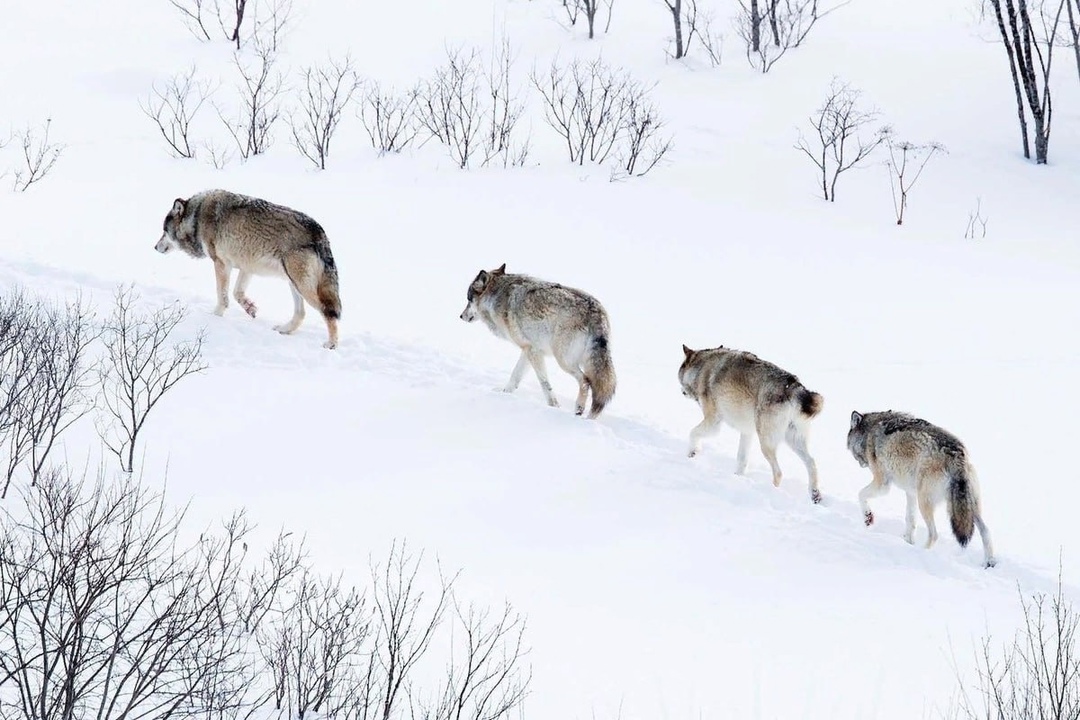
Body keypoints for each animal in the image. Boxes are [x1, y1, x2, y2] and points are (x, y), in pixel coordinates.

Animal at [154, 189, 341, 349]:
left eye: (164, 231)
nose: (155, 247)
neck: (196, 217)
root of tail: (320, 232)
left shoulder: (221, 264)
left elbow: (222, 296)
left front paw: (215, 317)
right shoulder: (247, 267)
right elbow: (237, 293)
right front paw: (250, 308)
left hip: (301, 286)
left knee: (327, 312)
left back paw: (331, 344)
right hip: (293, 283)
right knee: (301, 314)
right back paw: (284, 329)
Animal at [460, 264, 617, 418]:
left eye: (468, 299)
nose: (461, 316)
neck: (497, 297)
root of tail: (596, 313)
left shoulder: (533, 352)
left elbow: (544, 383)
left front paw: (554, 406)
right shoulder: (528, 349)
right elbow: (515, 375)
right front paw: (504, 393)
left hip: (564, 361)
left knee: (585, 381)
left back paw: (578, 410)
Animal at [678, 345, 820, 505]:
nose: (682, 392)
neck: (701, 369)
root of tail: (794, 386)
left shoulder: (713, 422)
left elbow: (692, 432)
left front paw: (692, 453)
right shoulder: (747, 431)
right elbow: (741, 459)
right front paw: (737, 478)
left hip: (766, 444)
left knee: (779, 472)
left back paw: (772, 492)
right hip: (793, 441)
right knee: (812, 463)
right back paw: (815, 495)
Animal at [846, 410, 997, 569]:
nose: (860, 464)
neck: (870, 432)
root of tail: (957, 455)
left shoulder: (883, 484)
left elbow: (860, 494)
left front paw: (868, 518)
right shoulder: (910, 492)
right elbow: (910, 519)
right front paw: (907, 541)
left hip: (925, 502)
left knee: (934, 534)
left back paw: (920, 552)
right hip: (967, 507)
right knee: (986, 531)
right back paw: (989, 562)